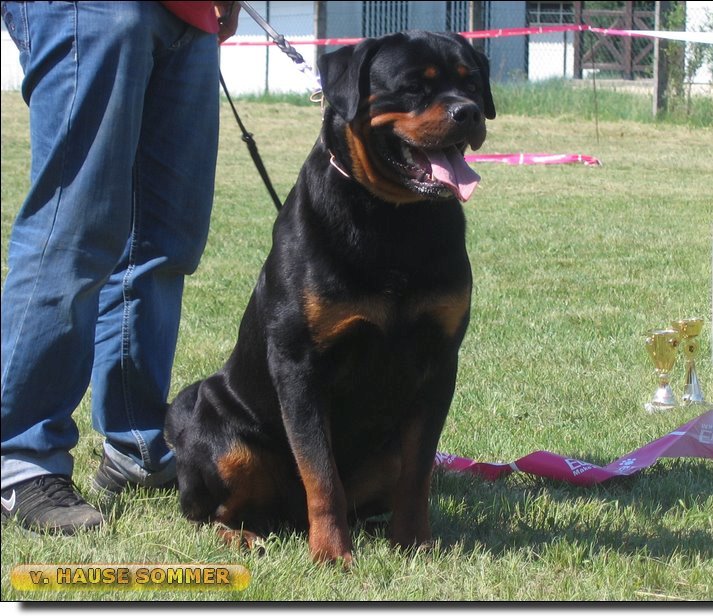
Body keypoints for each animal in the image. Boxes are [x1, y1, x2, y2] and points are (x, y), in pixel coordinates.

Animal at [165, 31, 496, 564]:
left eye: (471, 83)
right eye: (412, 87)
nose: (467, 112)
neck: (394, 219)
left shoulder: (439, 360)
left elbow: (419, 471)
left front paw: (414, 541)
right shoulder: (299, 364)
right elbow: (320, 473)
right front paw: (333, 553)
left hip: (385, 449)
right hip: (219, 432)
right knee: (207, 511)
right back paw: (241, 535)